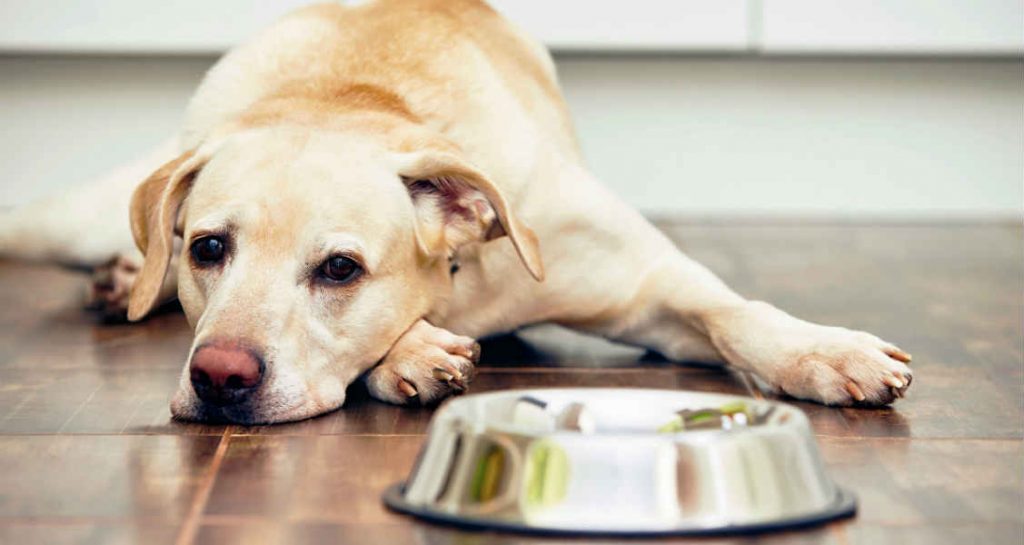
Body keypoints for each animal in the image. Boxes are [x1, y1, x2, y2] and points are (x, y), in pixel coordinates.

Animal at [0, 0, 913, 424]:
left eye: (339, 268)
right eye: (207, 248)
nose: (219, 377)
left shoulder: (649, 283)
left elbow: (735, 310)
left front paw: (824, 351)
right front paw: (414, 350)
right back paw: (123, 275)